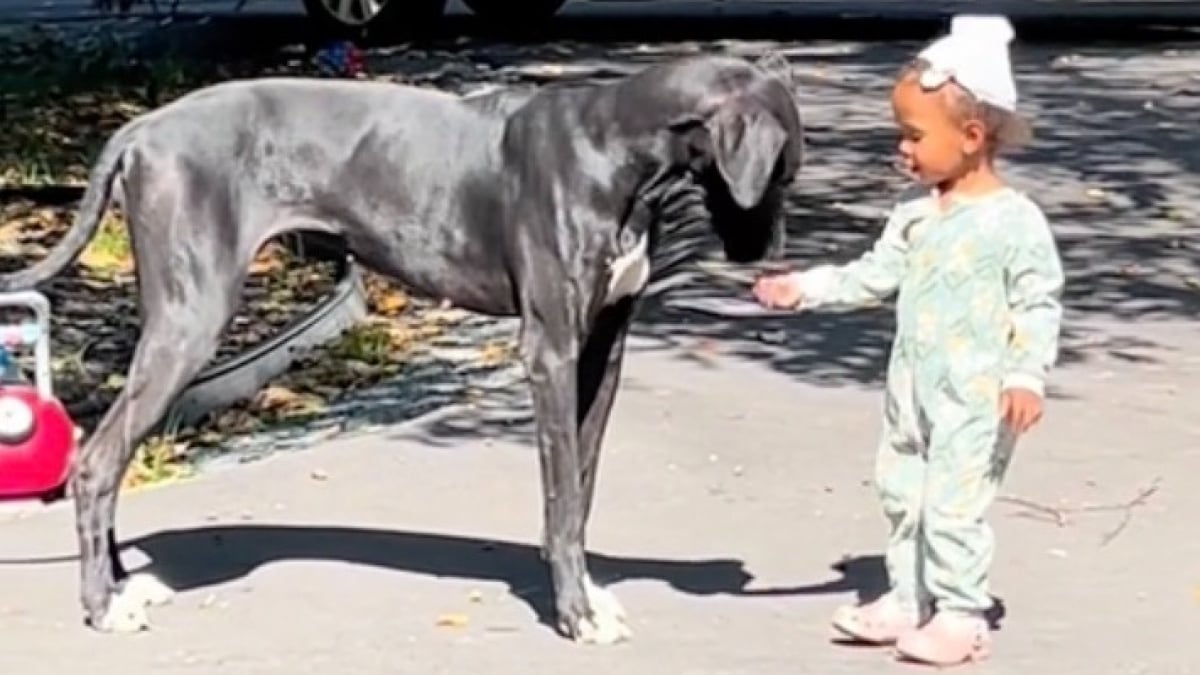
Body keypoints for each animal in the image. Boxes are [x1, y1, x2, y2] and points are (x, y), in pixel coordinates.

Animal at [4, 52, 806, 638]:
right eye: (781, 172)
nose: (766, 252)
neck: (615, 147)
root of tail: (140, 129)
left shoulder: (603, 350)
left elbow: (579, 488)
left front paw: (586, 595)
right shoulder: (549, 351)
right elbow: (559, 491)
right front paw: (574, 614)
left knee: (112, 456)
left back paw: (121, 586)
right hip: (190, 320)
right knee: (97, 461)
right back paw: (101, 607)